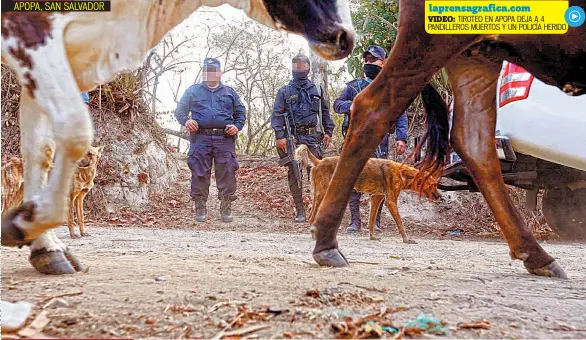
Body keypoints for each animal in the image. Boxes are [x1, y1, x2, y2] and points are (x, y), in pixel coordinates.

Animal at [296, 143, 438, 242]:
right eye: (432, 185)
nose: (440, 197)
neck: (402, 173)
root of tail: (320, 161)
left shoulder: (376, 199)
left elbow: (371, 220)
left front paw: (372, 237)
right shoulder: (391, 202)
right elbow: (400, 223)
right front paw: (406, 239)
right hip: (323, 192)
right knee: (312, 216)